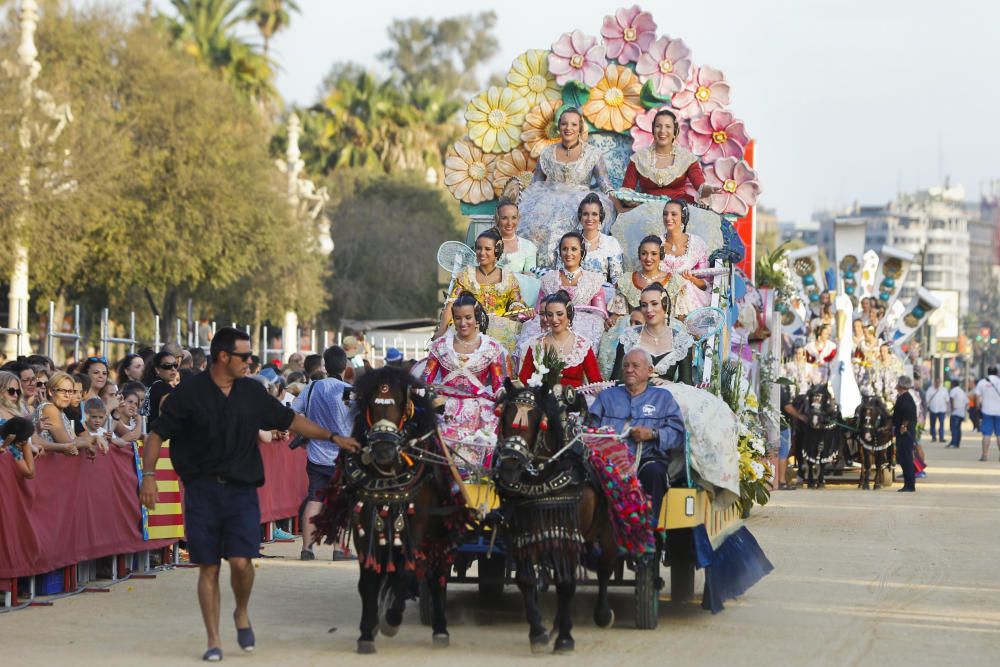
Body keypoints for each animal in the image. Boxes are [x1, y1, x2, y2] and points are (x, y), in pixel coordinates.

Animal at [312, 368, 468, 656]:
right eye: (372, 405)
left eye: (400, 405)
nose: (383, 450)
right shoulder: (364, 523)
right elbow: (369, 579)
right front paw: (367, 631)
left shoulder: (416, 526)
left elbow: (406, 572)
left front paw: (392, 618)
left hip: (439, 533)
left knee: (435, 575)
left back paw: (440, 628)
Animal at [490, 378, 620, 656]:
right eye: (504, 416)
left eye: (536, 421)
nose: (509, 468)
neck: (542, 478)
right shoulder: (521, 531)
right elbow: (526, 580)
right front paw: (538, 633)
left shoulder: (568, 531)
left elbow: (567, 583)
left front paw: (565, 638)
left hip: (606, 533)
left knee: (605, 568)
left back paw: (602, 614)